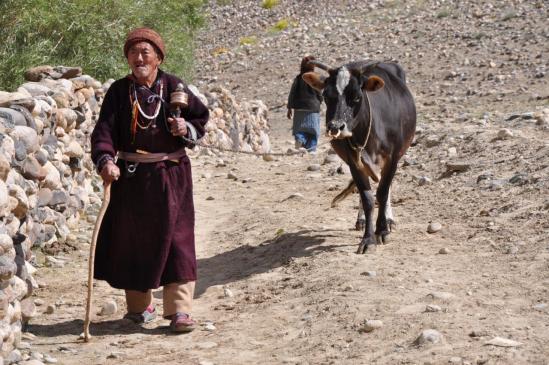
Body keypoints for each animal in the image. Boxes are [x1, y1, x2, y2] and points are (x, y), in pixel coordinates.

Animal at [302, 59, 414, 253]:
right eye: (326, 96)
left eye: (356, 96)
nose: (335, 127)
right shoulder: (354, 162)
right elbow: (367, 198)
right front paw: (368, 239)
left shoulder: (392, 159)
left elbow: (383, 193)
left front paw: (382, 229)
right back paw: (361, 220)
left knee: (387, 188)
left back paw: (389, 219)